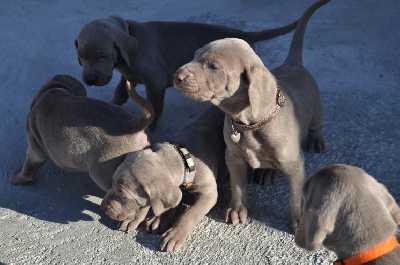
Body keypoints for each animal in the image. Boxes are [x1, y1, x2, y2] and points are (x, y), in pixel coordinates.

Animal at [9, 74, 153, 192]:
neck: (55, 90)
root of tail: (133, 124)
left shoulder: (35, 149)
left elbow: (28, 167)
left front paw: (16, 178)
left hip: (101, 173)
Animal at [74, 14, 300, 130]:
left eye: (102, 55)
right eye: (81, 57)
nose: (90, 79)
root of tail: (244, 34)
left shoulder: (154, 81)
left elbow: (154, 106)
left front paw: (149, 127)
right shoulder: (127, 75)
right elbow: (120, 91)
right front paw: (111, 106)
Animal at [173, 0, 330, 229]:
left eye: (213, 66)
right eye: (194, 55)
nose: (177, 75)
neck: (250, 125)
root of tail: (293, 64)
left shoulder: (295, 164)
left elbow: (295, 194)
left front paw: (299, 219)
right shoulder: (233, 157)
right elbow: (237, 184)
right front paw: (237, 209)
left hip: (316, 109)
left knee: (316, 124)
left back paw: (315, 141)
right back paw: (266, 171)